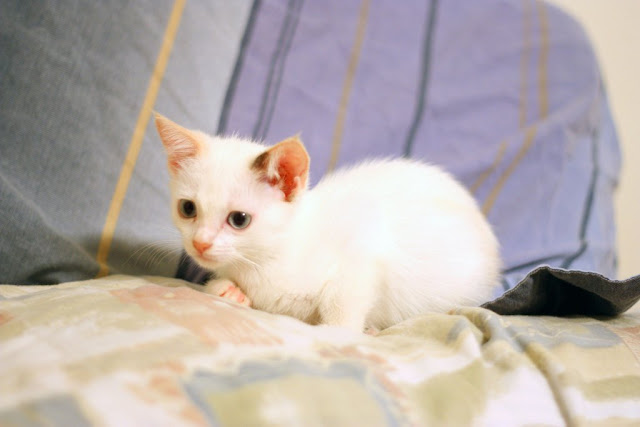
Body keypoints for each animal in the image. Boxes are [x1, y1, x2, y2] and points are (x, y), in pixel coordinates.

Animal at [155, 114, 500, 334]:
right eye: (188, 208)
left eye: (239, 219)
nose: (200, 243)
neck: (268, 261)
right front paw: (227, 290)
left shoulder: (364, 245)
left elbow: (343, 298)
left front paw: (340, 332)